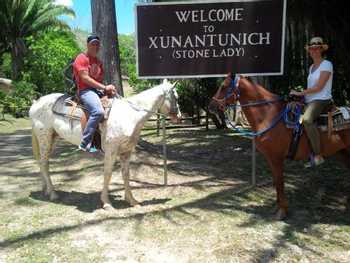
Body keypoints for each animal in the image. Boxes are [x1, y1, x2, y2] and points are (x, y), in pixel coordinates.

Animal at [29, 80, 180, 210]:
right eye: (176, 97)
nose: (178, 116)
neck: (129, 115)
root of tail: (36, 104)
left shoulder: (126, 151)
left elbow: (126, 174)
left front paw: (132, 201)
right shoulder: (111, 151)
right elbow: (108, 174)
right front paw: (106, 203)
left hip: (52, 139)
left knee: (43, 163)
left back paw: (46, 189)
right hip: (45, 139)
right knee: (44, 163)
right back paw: (52, 193)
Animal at [209, 73, 350, 220]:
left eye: (223, 86)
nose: (211, 106)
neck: (268, 116)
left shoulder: (276, 158)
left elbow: (280, 182)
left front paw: (282, 211)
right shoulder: (270, 159)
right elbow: (276, 182)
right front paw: (278, 208)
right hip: (342, 152)